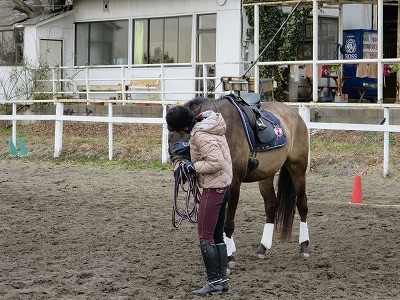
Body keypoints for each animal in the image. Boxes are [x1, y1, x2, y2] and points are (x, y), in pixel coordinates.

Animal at [167, 95, 310, 262]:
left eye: (188, 140)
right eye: (169, 139)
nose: (181, 171)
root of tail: (293, 114)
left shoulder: (234, 183)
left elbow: (228, 222)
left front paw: (229, 255)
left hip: (297, 168)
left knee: (302, 204)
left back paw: (304, 245)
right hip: (266, 175)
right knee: (271, 206)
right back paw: (263, 248)